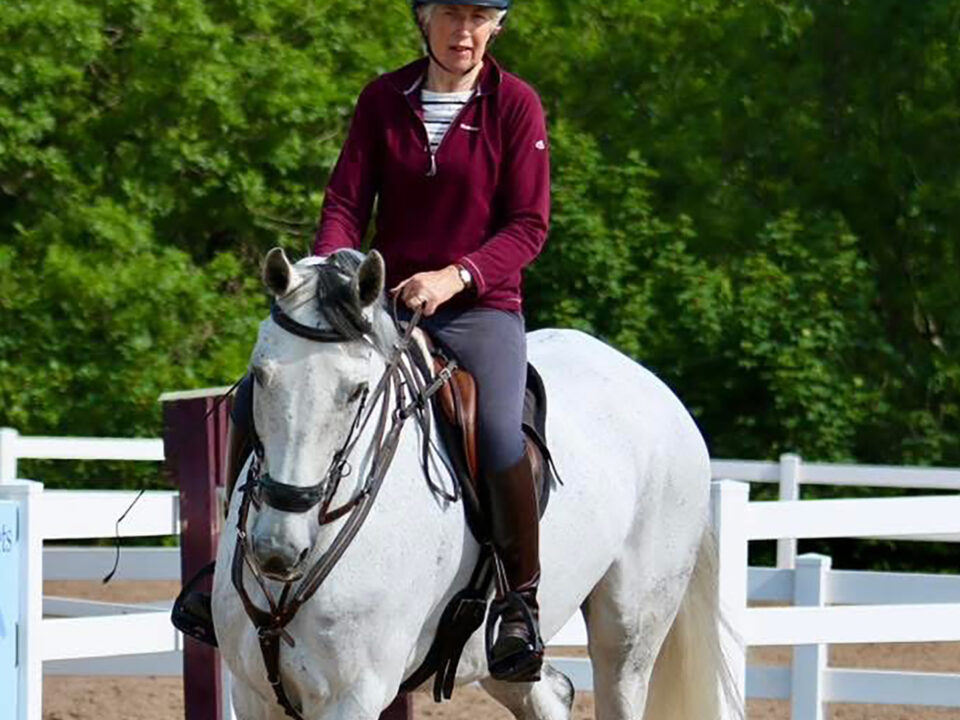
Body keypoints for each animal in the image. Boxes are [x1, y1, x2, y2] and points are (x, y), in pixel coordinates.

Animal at [211, 247, 738, 720]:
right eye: (260, 377)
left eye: (357, 391)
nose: (277, 550)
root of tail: (660, 390)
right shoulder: (253, 693)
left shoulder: (353, 697)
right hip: (491, 657)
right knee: (550, 693)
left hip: (629, 634)